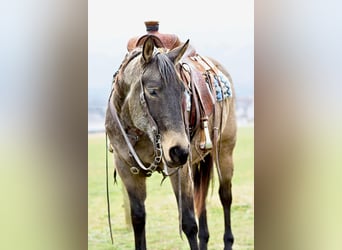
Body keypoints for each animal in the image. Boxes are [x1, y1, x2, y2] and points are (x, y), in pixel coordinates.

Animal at [105, 22, 236, 250]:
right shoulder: (126, 169)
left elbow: (188, 223)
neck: (141, 132)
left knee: (225, 196)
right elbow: (138, 219)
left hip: (224, 152)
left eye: (183, 90)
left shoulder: (180, 170)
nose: (178, 150)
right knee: (201, 199)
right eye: (152, 91)